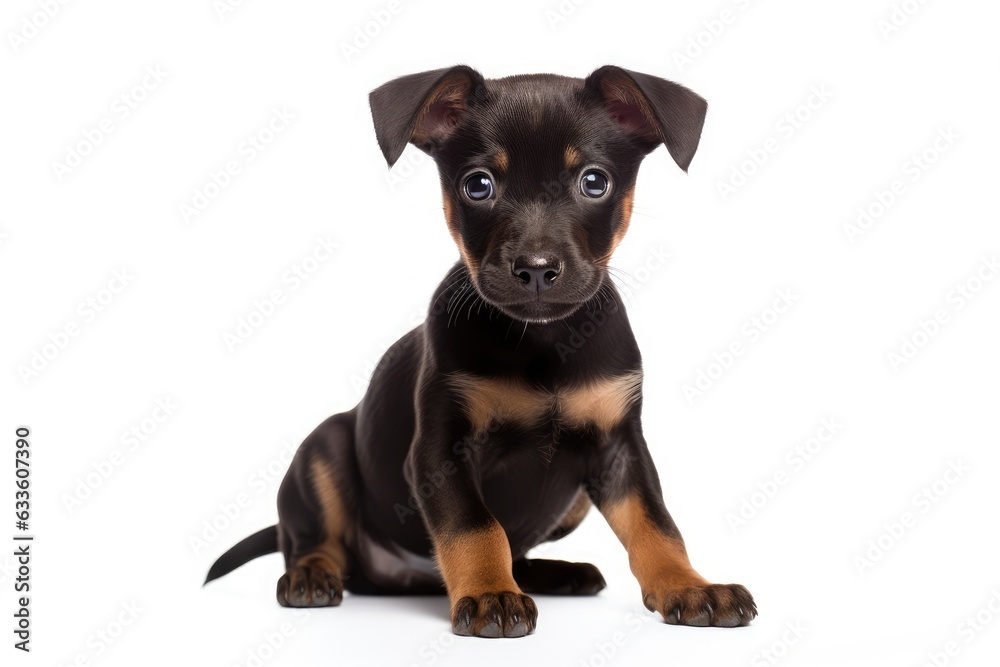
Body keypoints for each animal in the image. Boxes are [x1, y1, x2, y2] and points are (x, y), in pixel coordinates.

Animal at [205, 65, 756, 640]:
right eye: (478, 185)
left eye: (594, 182)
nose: (536, 269)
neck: (542, 340)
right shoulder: (440, 453)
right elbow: (476, 526)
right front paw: (491, 593)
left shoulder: (619, 449)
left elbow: (657, 524)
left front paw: (689, 586)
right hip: (323, 449)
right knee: (311, 540)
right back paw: (311, 576)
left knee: (521, 549)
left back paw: (557, 573)